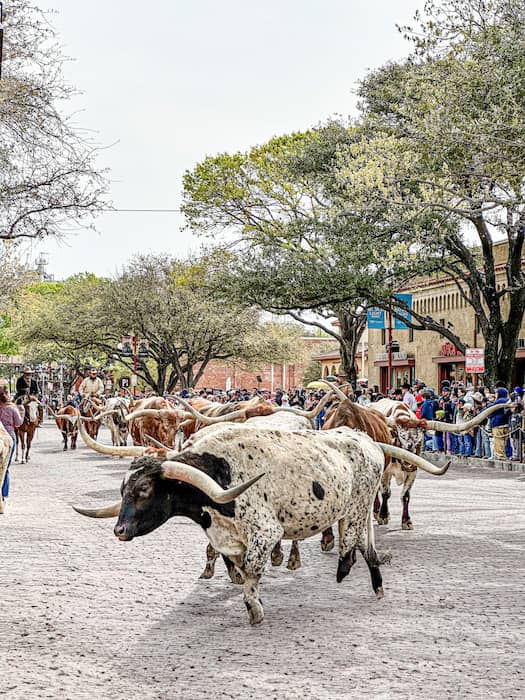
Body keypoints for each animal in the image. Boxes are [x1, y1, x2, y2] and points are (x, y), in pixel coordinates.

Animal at [73, 424, 447, 624]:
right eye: (122, 491)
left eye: (144, 490)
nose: (119, 530)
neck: (219, 475)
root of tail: (363, 437)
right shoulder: (228, 537)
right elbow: (239, 567)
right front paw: (251, 596)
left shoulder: (266, 532)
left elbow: (253, 567)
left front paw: (254, 608)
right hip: (361, 507)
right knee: (367, 544)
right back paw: (377, 584)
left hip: (357, 505)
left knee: (353, 542)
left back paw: (346, 569)